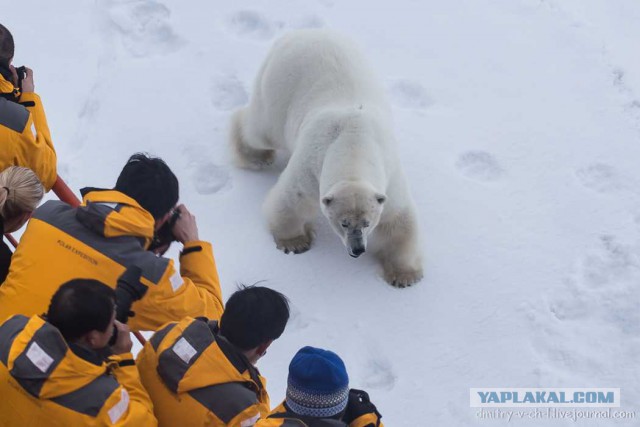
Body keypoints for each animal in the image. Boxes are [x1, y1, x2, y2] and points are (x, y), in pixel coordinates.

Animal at [230, 30, 424, 288]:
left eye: (367, 223)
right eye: (343, 223)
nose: (357, 249)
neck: (354, 143)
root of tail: (300, 33)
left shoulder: (389, 177)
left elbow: (398, 220)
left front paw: (404, 276)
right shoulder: (311, 166)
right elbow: (291, 200)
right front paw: (295, 242)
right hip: (280, 90)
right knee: (260, 129)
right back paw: (257, 156)